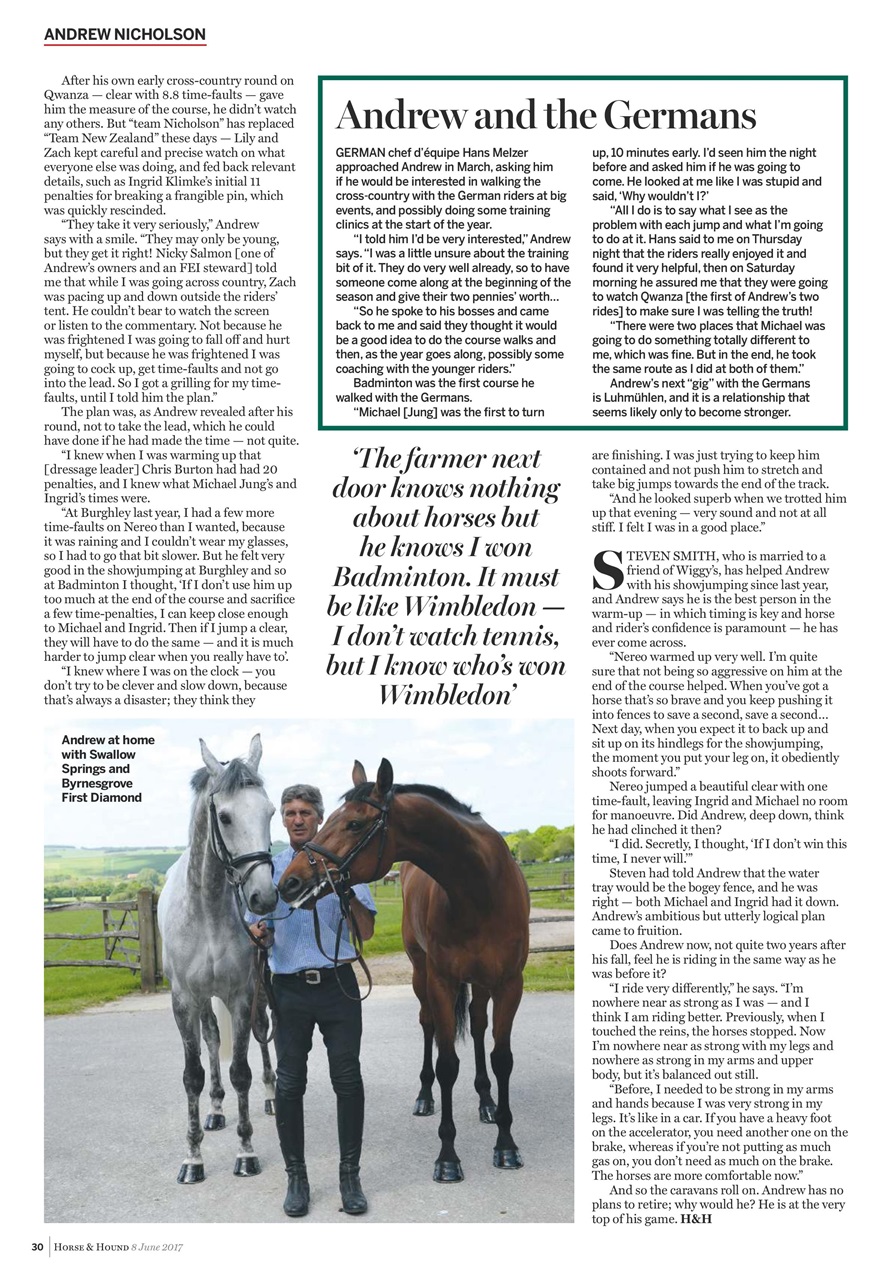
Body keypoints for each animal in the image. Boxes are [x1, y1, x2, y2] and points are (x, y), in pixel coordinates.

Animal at [157, 734, 279, 1183]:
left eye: (270, 812)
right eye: (224, 817)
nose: (264, 897)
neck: (206, 908)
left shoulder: (242, 995)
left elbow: (241, 1070)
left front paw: (246, 1153)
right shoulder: (184, 1000)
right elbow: (192, 1074)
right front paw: (193, 1159)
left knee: (262, 1036)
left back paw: (271, 1096)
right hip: (204, 1002)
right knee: (210, 1039)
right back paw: (214, 1110)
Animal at [278, 759, 530, 1182]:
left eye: (354, 823)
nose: (290, 882)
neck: (480, 890)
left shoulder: (510, 984)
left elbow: (503, 1059)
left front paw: (507, 1145)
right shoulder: (441, 981)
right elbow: (447, 1064)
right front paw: (448, 1156)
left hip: (481, 983)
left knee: (478, 1026)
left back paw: (486, 1101)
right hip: (420, 974)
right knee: (428, 1026)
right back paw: (425, 1097)